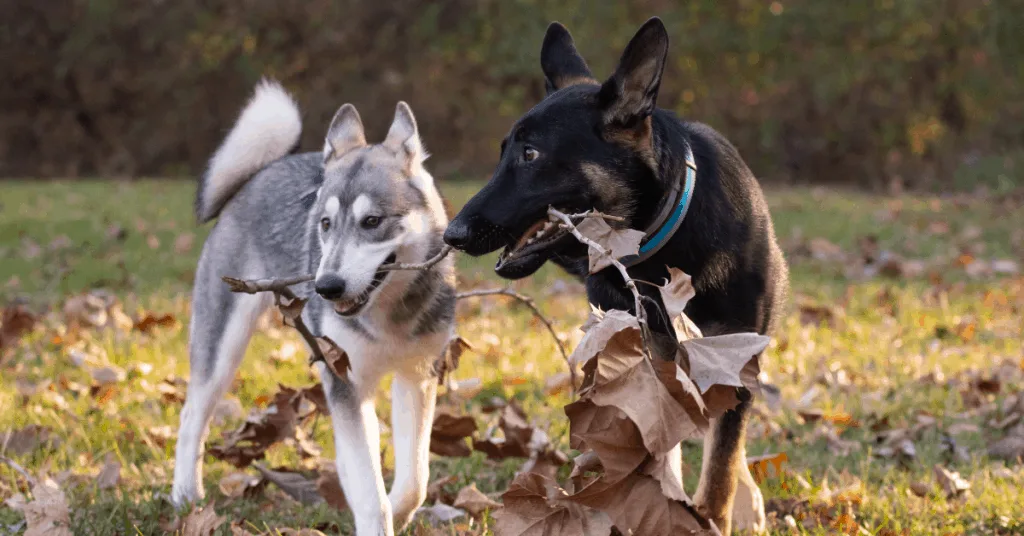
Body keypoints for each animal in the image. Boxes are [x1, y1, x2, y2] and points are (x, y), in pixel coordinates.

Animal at [173, 80, 456, 536]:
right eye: (325, 224)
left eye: (372, 222)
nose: (326, 288)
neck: (388, 316)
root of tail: (262, 172)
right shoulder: (346, 384)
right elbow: (370, 493)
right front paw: (377, 517)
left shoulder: (417, 376)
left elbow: (414, 480)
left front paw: (398, 510)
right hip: (222, 349)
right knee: (191, 416)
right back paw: (185, 496)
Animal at [444, 18, 786, 532]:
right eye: (504, 152)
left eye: (530, 154)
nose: (452, 234)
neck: (656, 251)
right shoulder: (640, 364)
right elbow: (658, 450)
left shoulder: (735, 357)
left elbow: (720, 468)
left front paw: (713, 514)